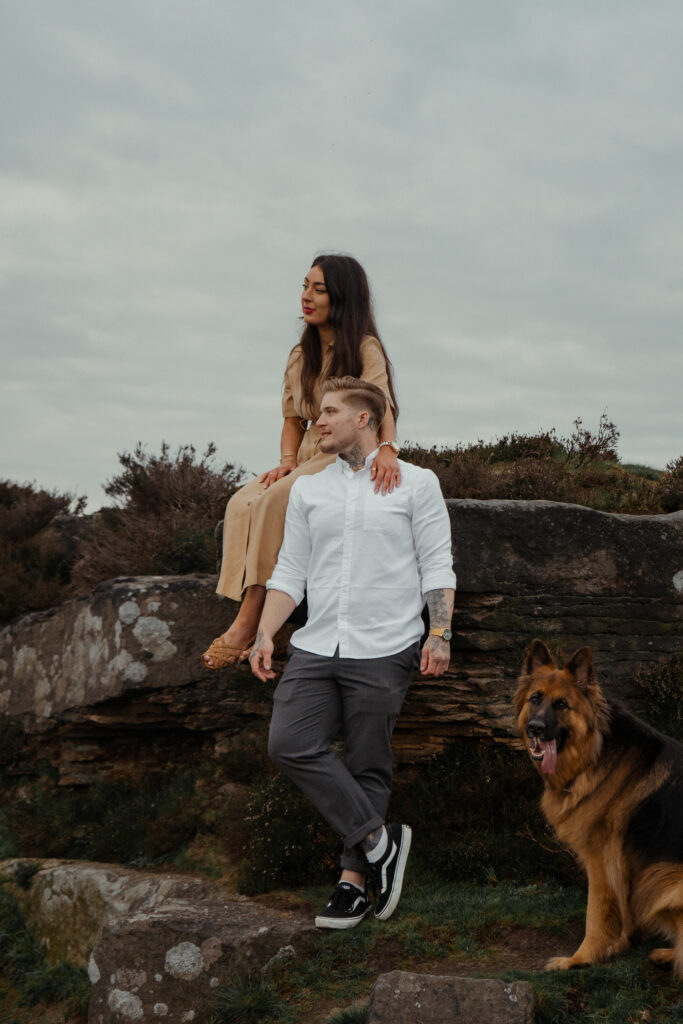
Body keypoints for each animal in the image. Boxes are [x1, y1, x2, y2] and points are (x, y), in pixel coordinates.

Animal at [518, 638, 683, 974]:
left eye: (562, 704)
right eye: (535, 698)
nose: (535, 728)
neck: (593, 753)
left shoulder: (601, 861)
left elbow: (595, 913)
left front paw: (580, 959)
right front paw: (617, 946)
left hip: (664, 881)